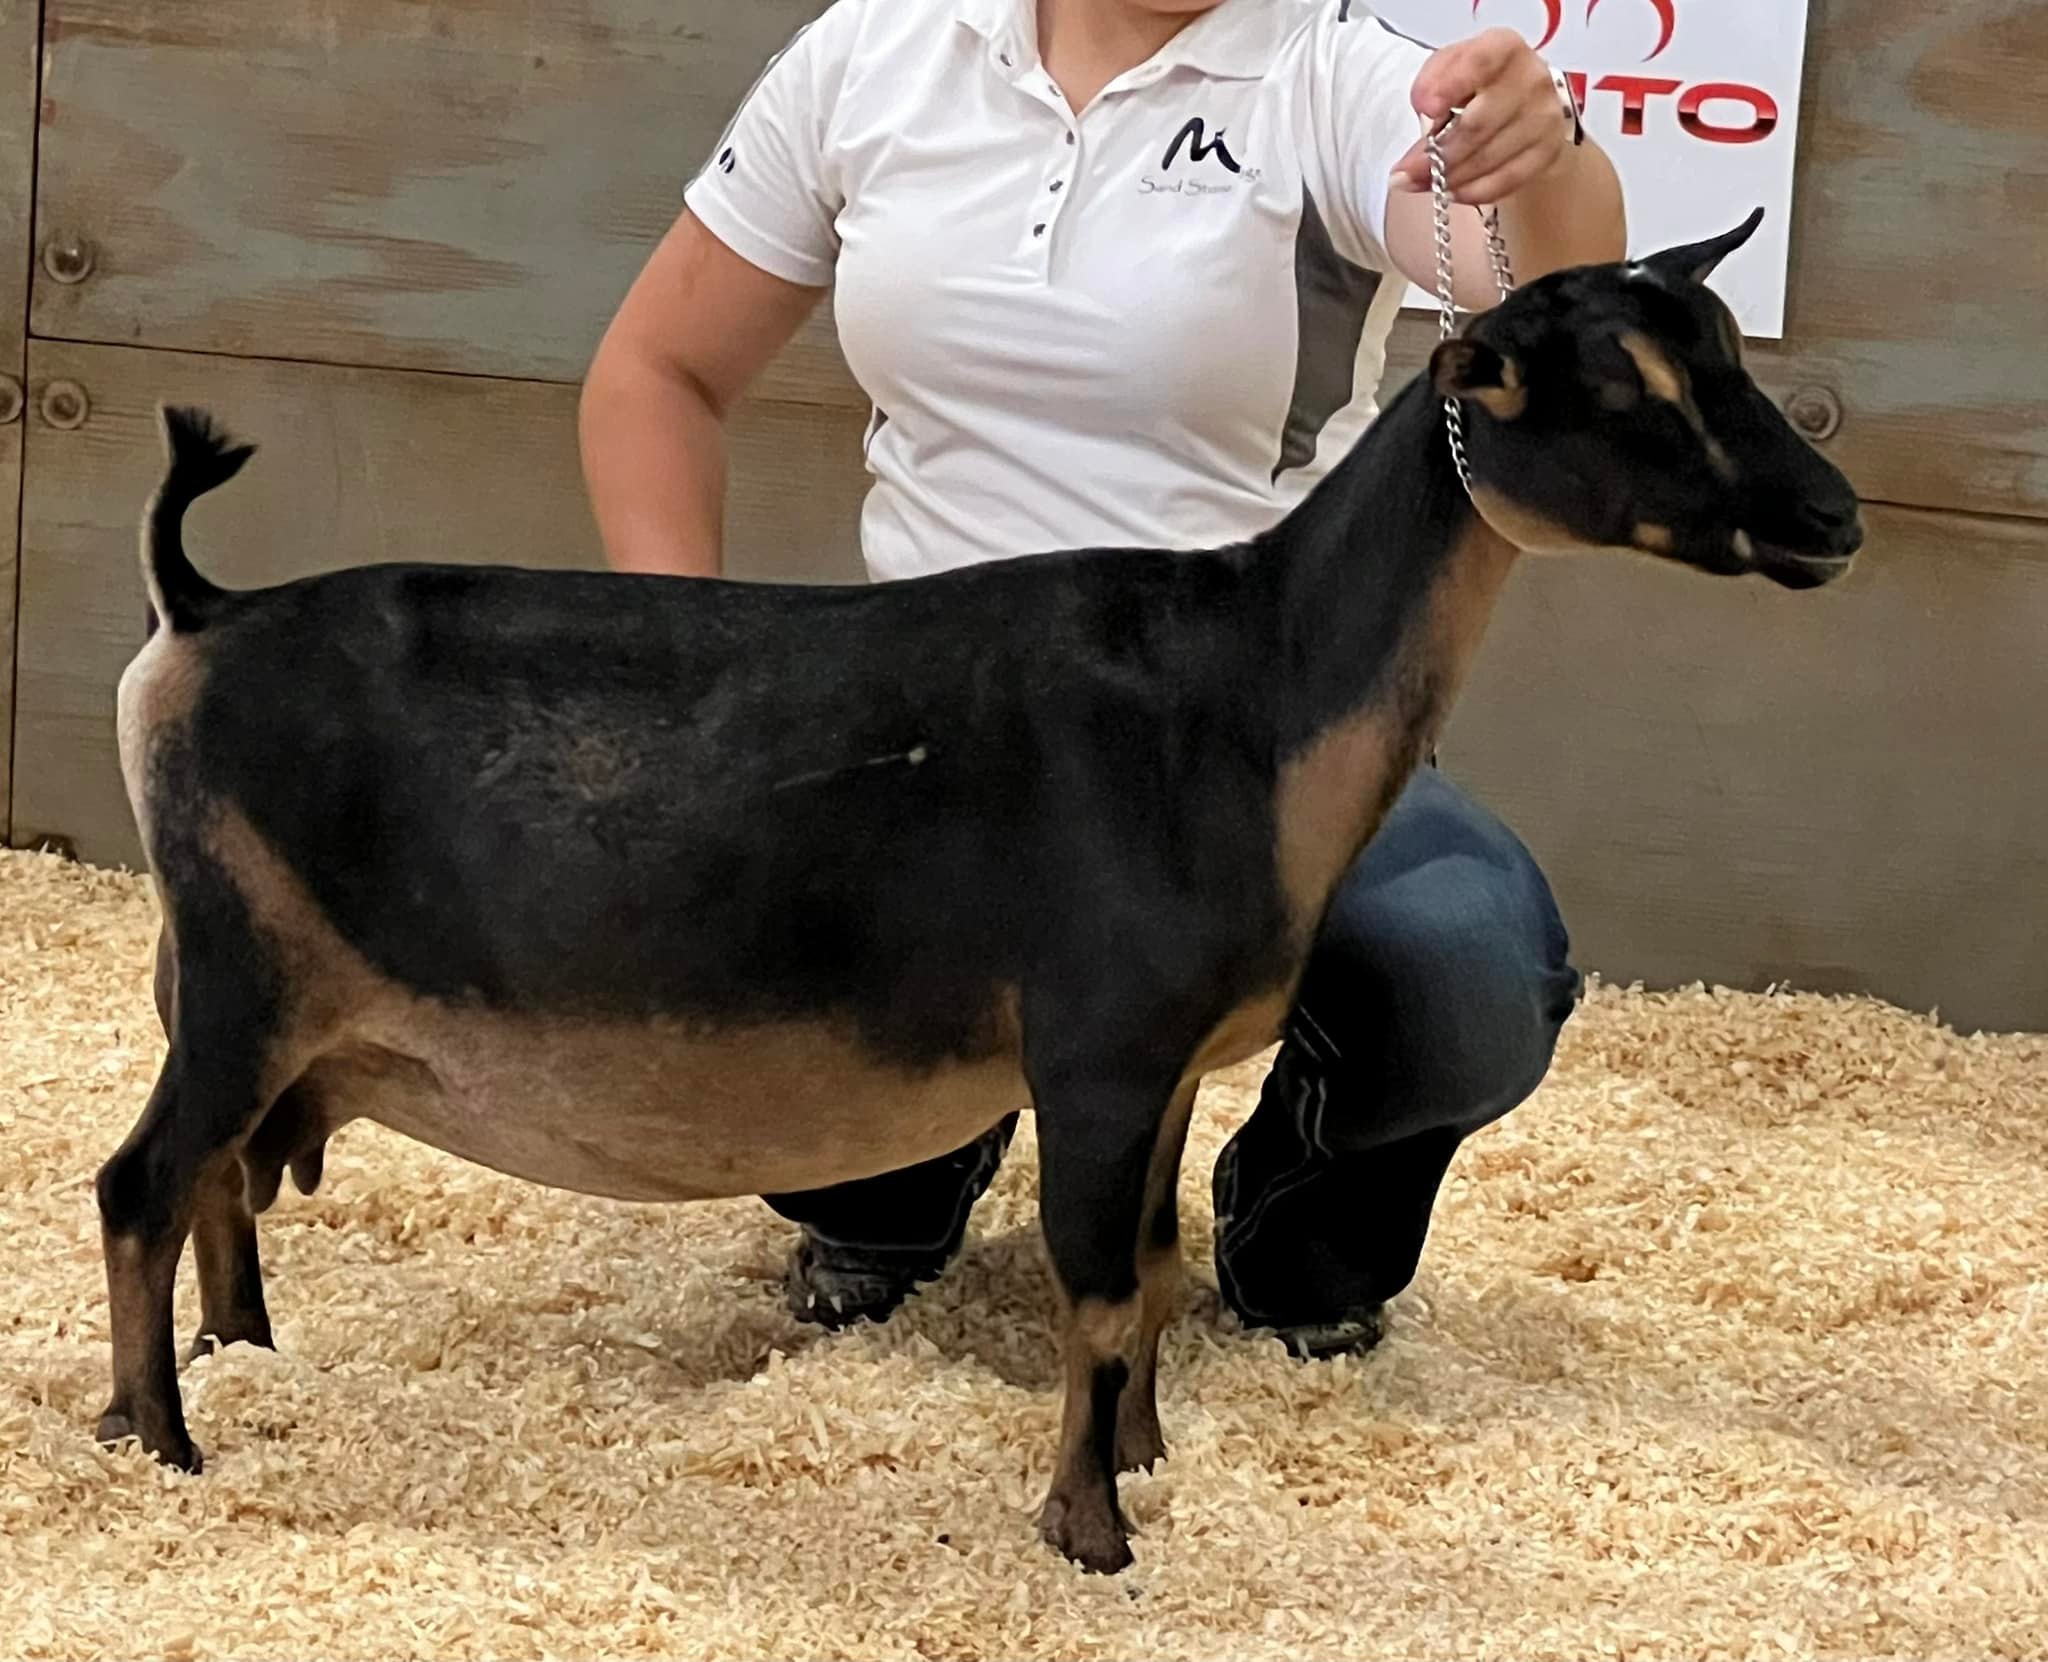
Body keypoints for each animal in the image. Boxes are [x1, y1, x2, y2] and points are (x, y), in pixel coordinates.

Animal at [97, 210, 1861, 1573]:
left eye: (1728, 355)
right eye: (1630, 391)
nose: (1834, 520)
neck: (1244, 694)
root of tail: (200, 613)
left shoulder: (1160, 1071)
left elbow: (1155, 1265)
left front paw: (1146, 1457)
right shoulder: (1093, 1049)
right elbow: (1096, 1291)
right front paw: (1091, 1532)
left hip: (241, 993)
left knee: (219, 1181)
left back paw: (244, 1356)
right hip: (249, 971)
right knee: (144, 1180)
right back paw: (156, 1436)